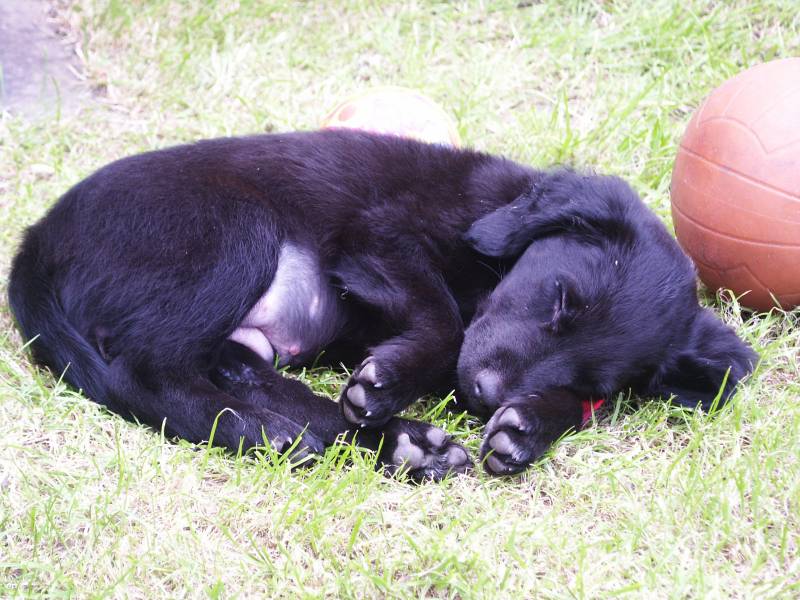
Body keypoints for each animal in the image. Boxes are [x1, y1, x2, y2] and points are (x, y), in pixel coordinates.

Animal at [8, 129, 757, 480]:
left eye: (592, 378)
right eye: (560, 298)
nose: (485, 396)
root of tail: (35, 239)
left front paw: (528, 426)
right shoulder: (379, 237)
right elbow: (445, 320)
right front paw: (397, 377)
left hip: (242, 326)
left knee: (246, 375)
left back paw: (404, 445)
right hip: (235, 230)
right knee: (146, 372)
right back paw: (262, 431)